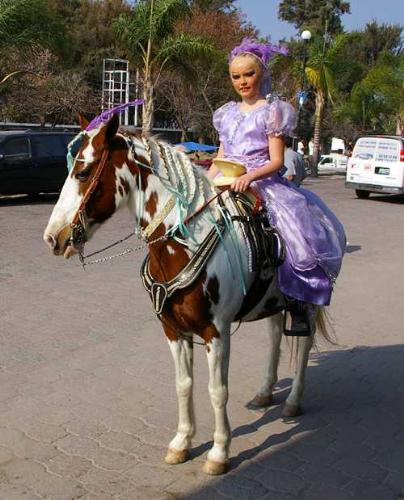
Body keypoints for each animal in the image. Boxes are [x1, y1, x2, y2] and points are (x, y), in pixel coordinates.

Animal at [43, 114, 328, 476]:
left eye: (82, 172)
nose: (53, 237)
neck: (186, 243)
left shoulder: (216, 332)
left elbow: (217, 390)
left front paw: (219, 452)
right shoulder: (173, 330)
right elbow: (184, 385)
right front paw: (182, 442)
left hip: (307, 300)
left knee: (304, 344)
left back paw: (292, 401)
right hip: (273, 302)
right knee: (276, 335)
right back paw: (265, 392)